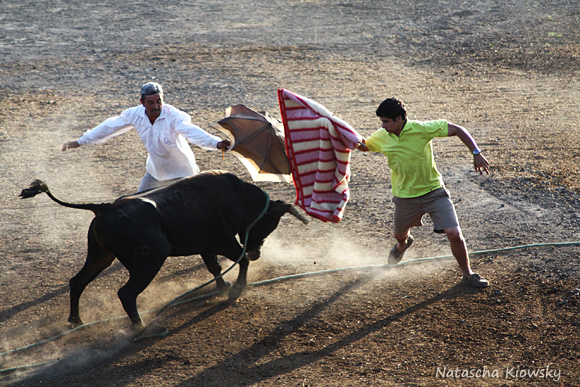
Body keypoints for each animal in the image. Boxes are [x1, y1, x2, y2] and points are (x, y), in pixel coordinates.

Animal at [21, 172, 308, 328]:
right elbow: (238, 261)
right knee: (126, 293)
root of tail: (105, 208)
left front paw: (222, 287)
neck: (235, 195)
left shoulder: (205, 244)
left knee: (78, 281)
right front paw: (235, 289)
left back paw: (76, 321)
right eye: (270, 223)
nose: (256, 252)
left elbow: (214, 266)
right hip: (150, 260)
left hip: (100, 256)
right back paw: (140, 326)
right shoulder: (222, 240)